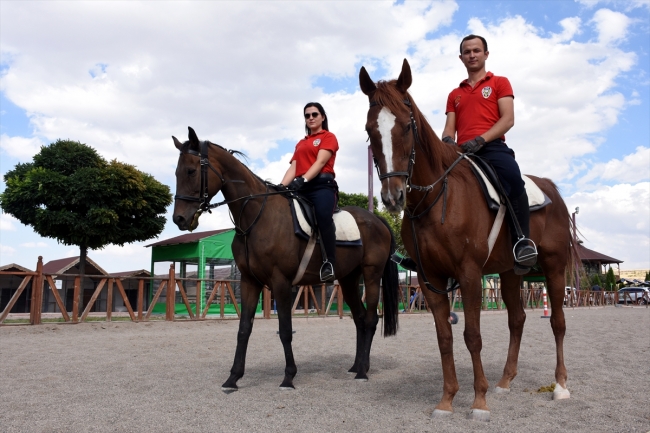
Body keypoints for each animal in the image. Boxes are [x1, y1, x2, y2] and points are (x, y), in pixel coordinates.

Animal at [170, 126, 398, 390]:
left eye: (191, 170)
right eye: (177, 172)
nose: (179, 219)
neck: (256, 216)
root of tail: (377, 220)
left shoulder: (281, 282)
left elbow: (285, 330)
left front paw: (289, 376)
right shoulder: (249, 282)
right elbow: (243, 329)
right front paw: (233, 377)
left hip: (371, 275)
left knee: (370, 320)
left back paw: (362, 371)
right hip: (349, 279)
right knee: (360, 319)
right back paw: (358, 365)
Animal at [360, 60, 572, 418]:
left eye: (407, 126)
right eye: (369, 130)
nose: (392, 196)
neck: (436, 199)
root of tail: (550, 189)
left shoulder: (470, 273)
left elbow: (472, 335)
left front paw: (479, 401)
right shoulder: (431, 279)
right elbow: (444, 337)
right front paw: (447, 399)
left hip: (554, 269)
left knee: (557, 322)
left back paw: (559, 386)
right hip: (510, 272)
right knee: (517, 320)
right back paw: (505, 381)